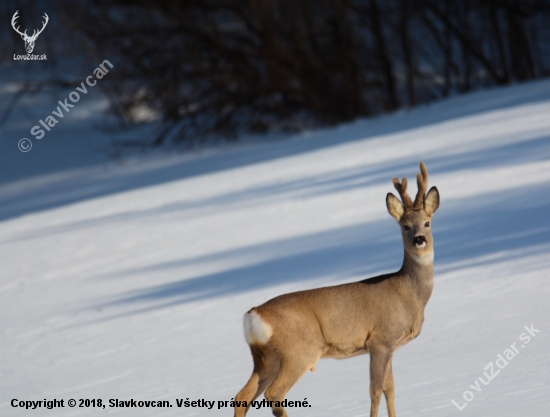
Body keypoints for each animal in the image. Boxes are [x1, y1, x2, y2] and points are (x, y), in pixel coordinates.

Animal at [235, 162, 442, 416]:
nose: (419, 239)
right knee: (274, 394)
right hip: (299, 351)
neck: (408, 295)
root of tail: (253, 314)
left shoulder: (390, 347)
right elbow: (375, 391)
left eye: (427, 223)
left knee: (242, 396)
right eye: (405, 226)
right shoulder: (380, 340)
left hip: (265, 359)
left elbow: (390, 390)